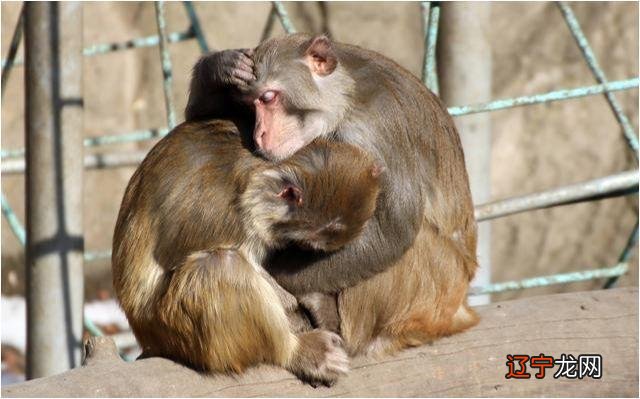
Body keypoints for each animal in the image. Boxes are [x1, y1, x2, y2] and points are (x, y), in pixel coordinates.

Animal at [112, 119, 382, 388]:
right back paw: (296, 351)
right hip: (172, 332)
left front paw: (318, 301)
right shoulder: (223, 215)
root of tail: (145, 335)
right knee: (222, 266)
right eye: (305, 245)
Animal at [182, 32, 478, 356]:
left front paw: (281, 273)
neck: (345, 98)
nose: (260, 134)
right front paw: (219, 68)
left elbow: (393, 233)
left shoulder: (376, 128)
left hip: (436, 289)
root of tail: (460, 308)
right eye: (250, 107)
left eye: (268, 98)